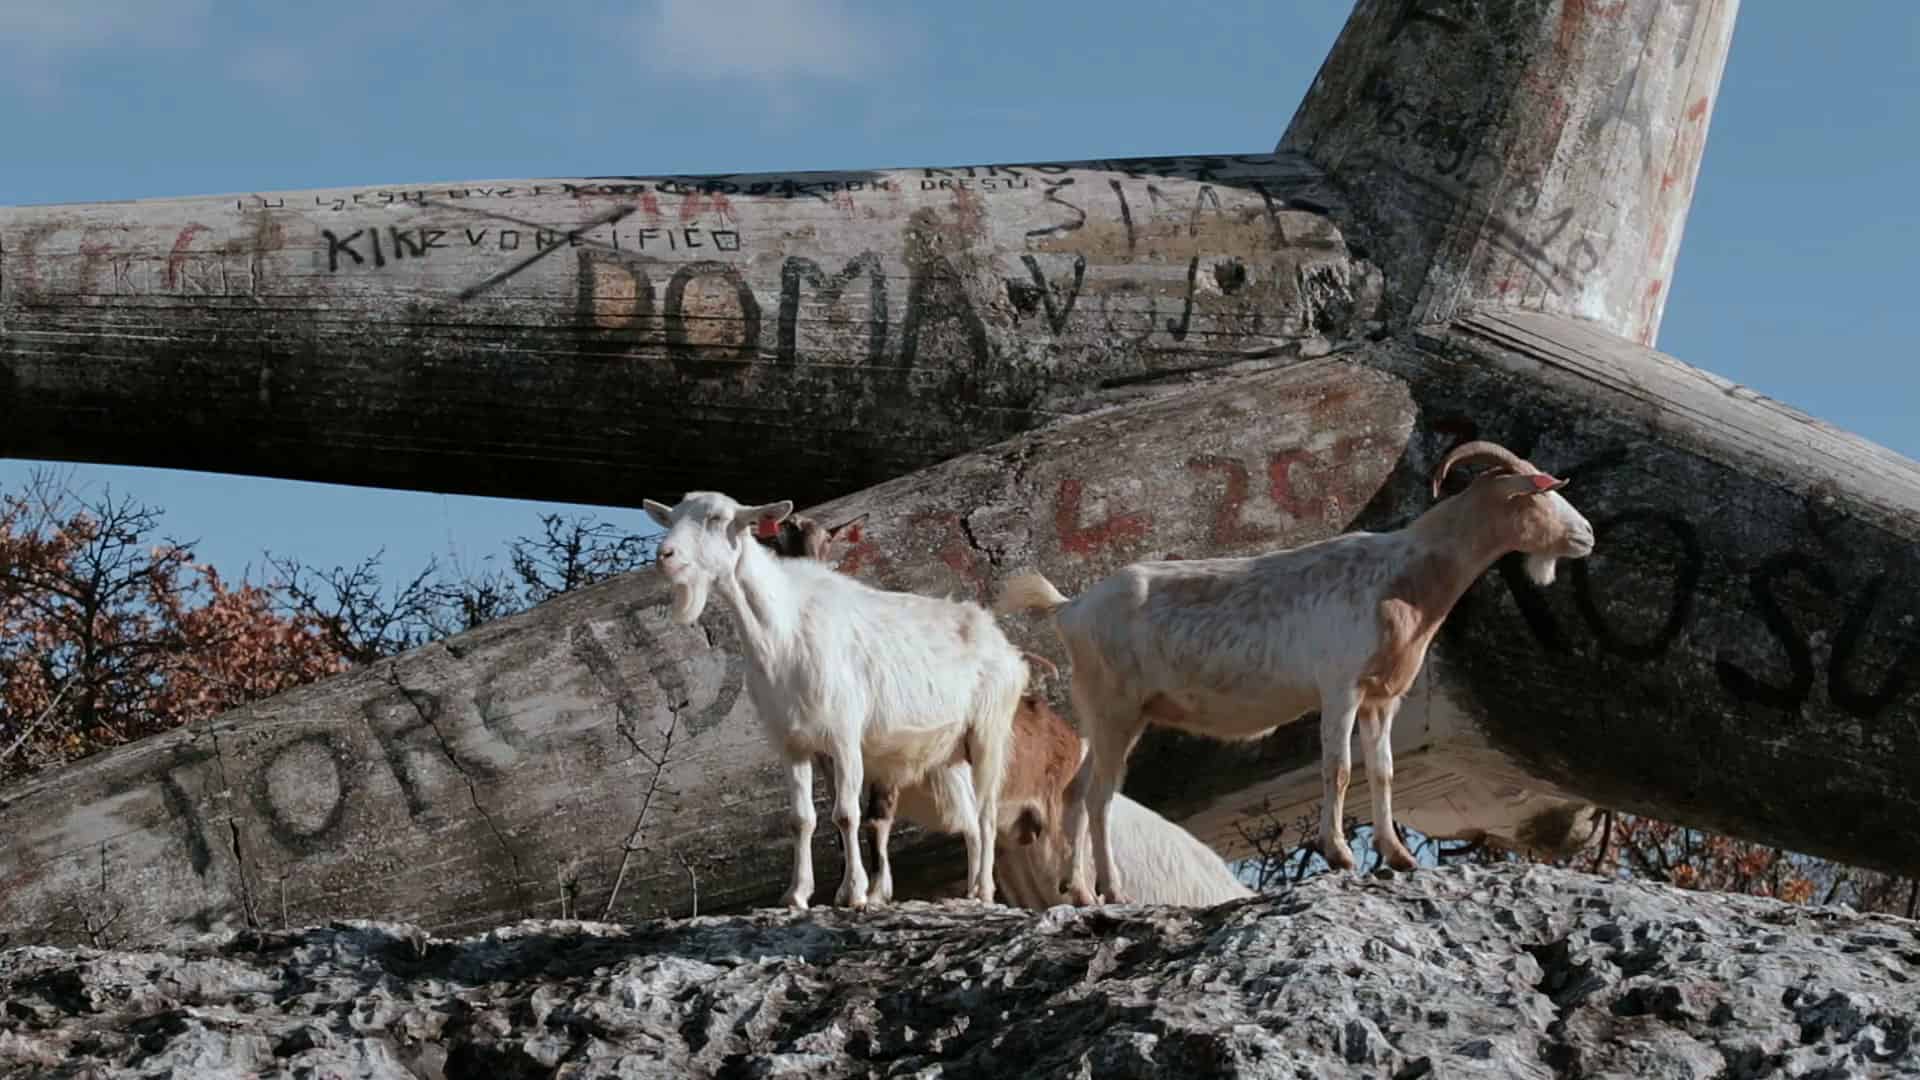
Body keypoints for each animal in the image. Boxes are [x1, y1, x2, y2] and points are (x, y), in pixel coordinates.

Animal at [645, 491, 1029, 903]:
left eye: (717, 518)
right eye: (671, 519)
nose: (665, 555)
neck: (782, 631)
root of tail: (1003, 643)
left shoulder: (845, 736)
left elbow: (846, 814)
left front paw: (854, 893)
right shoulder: (791, 742)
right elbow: (801, 819)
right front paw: (797, 894)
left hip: (989, 731)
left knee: (988, 814)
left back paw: (984, 891)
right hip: (949, 754)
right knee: (970, 820)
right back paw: (970, 889)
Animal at [998, 438, 1597, 899]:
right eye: (1542, 492)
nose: (1587, 536)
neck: (1402, 576)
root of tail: (1070, 607)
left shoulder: (1382, 697)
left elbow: (1383, 771)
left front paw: (1398, 856)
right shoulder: (1341, 687)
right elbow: (1340, 768)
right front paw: (1341, 855)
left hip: (1112, 714)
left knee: (1077, 791)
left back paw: (1079, 890)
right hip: (1114, 707)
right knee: (1099, 794)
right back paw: (1111, 888)